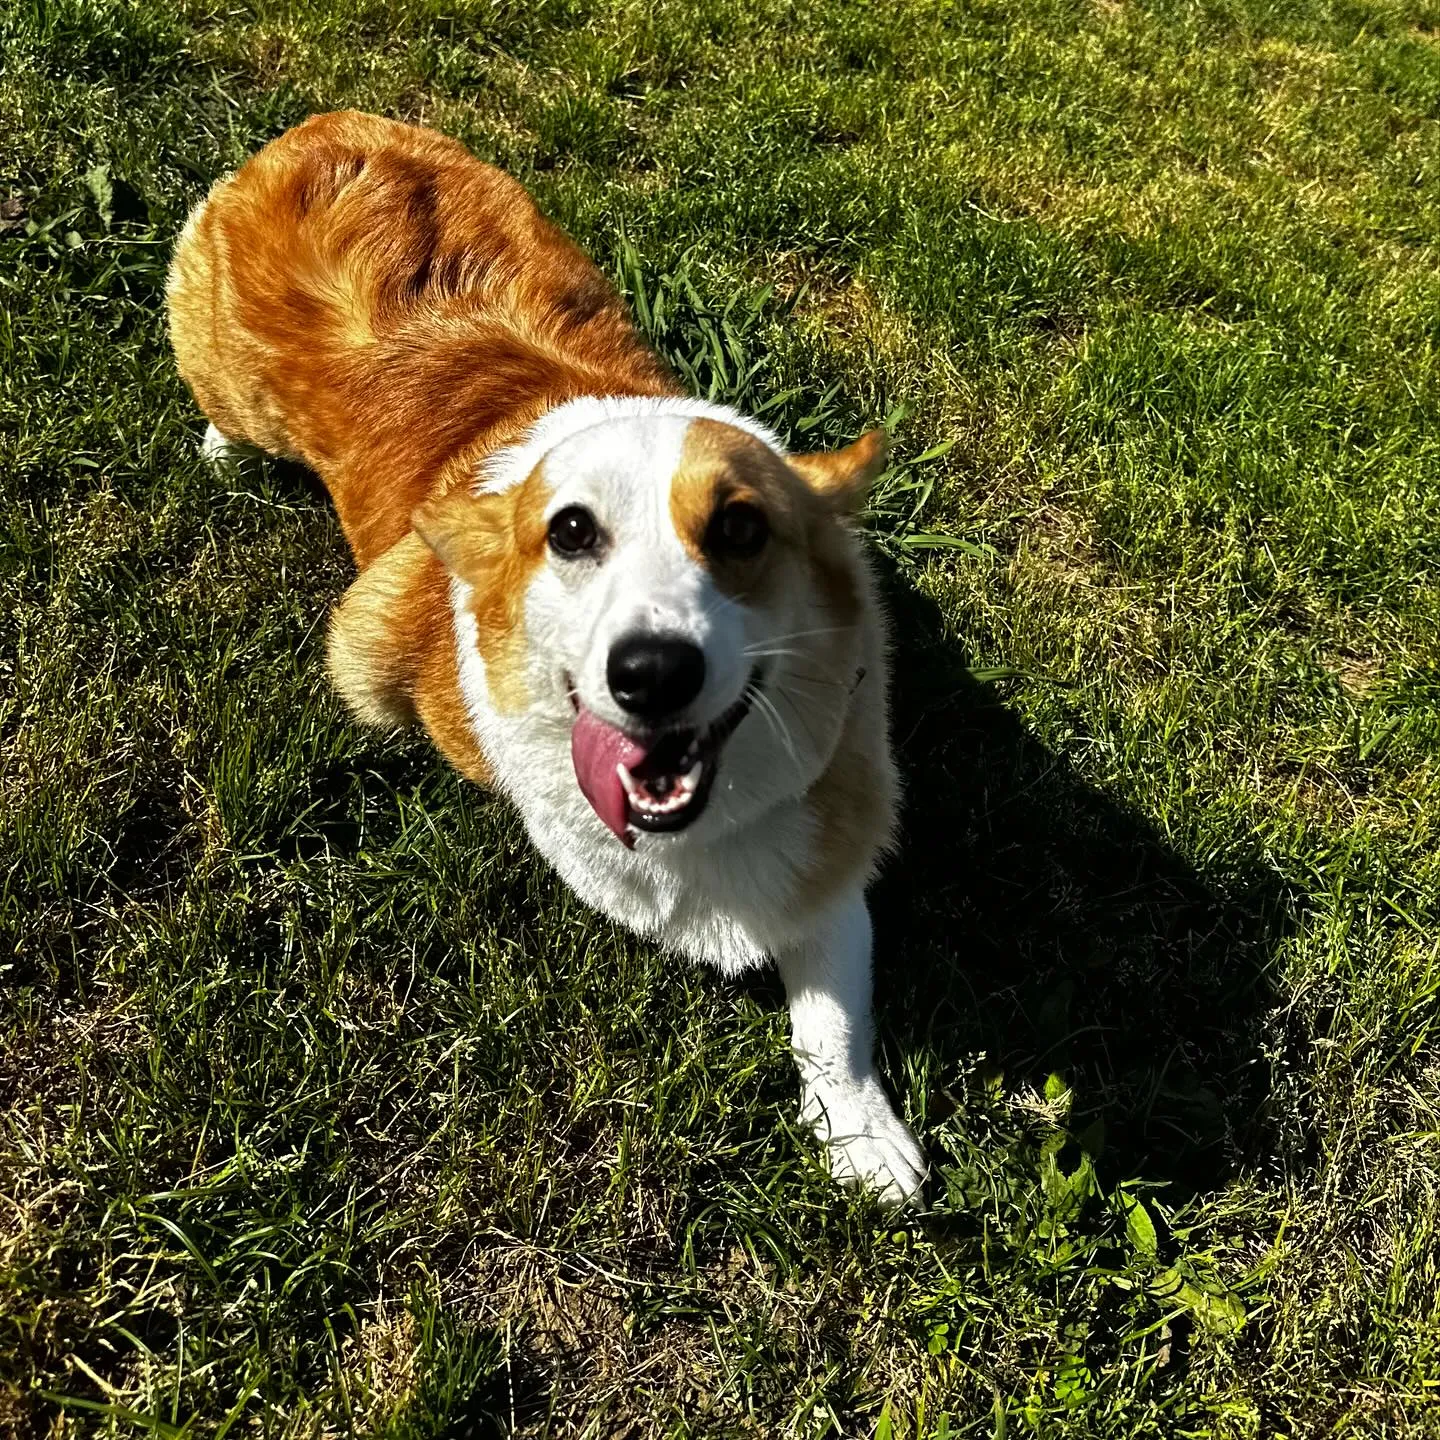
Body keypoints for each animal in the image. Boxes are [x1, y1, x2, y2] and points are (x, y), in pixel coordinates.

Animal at [165, 112, 921, 1198]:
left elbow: (834, 1011)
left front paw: (862, 1134)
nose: (651, 673)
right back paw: (220, 452)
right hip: (227, 369)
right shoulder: (373, 652)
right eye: (569, 532)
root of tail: (322, 130)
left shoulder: (834, 831)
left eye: (741, 529)